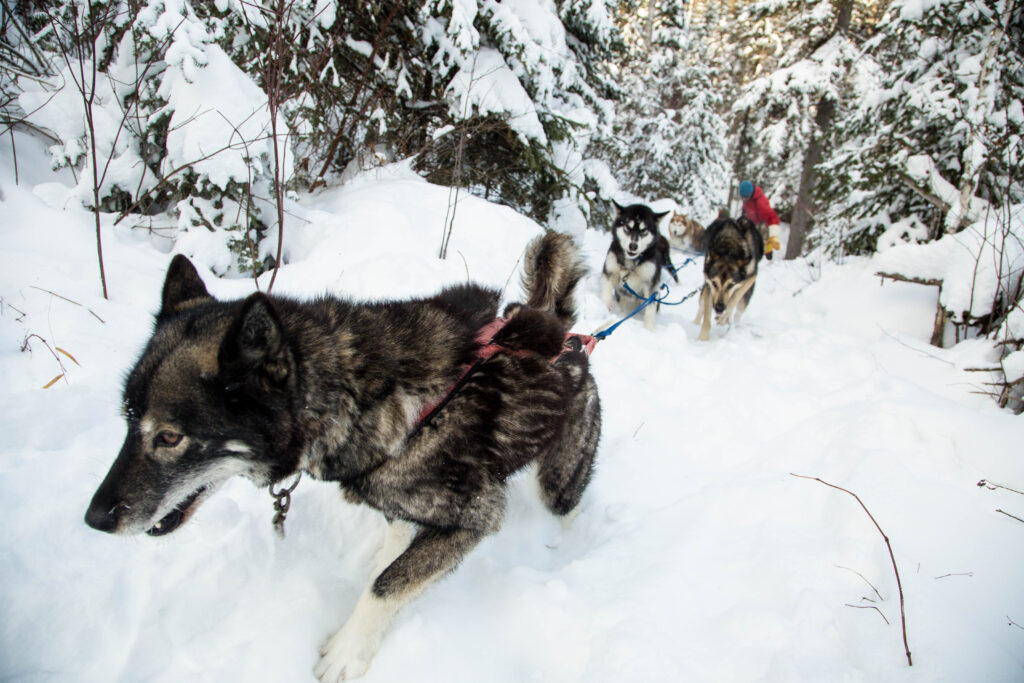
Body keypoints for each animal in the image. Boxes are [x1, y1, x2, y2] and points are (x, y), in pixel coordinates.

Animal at [88, 233, 602, 679]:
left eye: (169, 437)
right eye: (127, 418)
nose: (95, 518)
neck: (361, 397)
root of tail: (567, 335)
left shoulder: (477, 516)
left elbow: (386, 586)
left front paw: (346, 652)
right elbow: (394, 553)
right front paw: (386, 558)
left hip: (557, 481)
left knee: (568, 508)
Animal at [602, 200, 675, 331]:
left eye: (643, 230)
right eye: (627, 227)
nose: (633, 246)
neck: (632, 264)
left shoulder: (651, 285)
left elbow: (650, 309)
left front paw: (650, 329)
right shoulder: (610, 271)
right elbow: (606, 291)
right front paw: (604, 307)